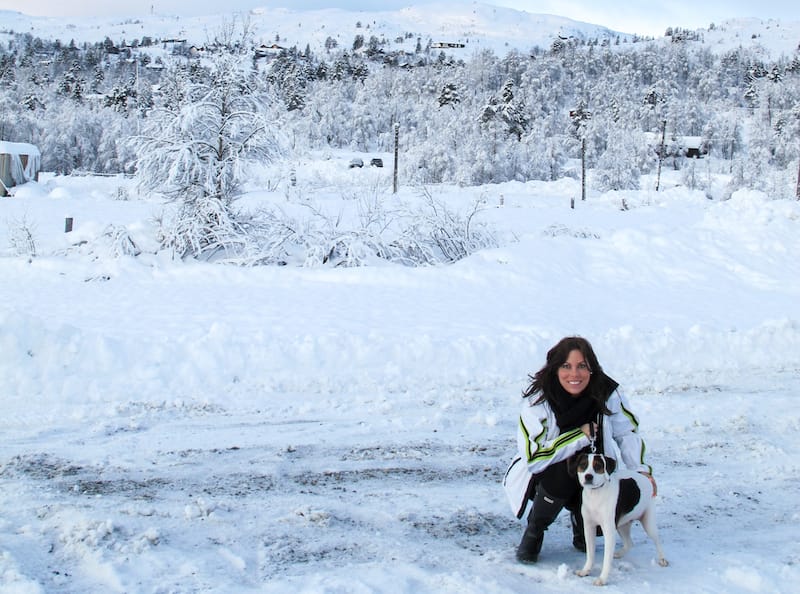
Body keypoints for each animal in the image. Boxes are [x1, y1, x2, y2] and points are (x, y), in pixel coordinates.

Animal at [572, 454, 664, 584]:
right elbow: (590, 554)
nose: (588, 476)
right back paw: (619, 553)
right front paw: (586, 570)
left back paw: (662, 558)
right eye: (583, 465)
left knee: (657, 540)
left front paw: (602, 579)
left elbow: (606, 559)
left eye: (598, 466)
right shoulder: (589, 527)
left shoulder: (608, 530)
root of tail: (646, 479)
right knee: (629, 543)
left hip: (648, 523)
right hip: (622, 525)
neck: (596, 494)